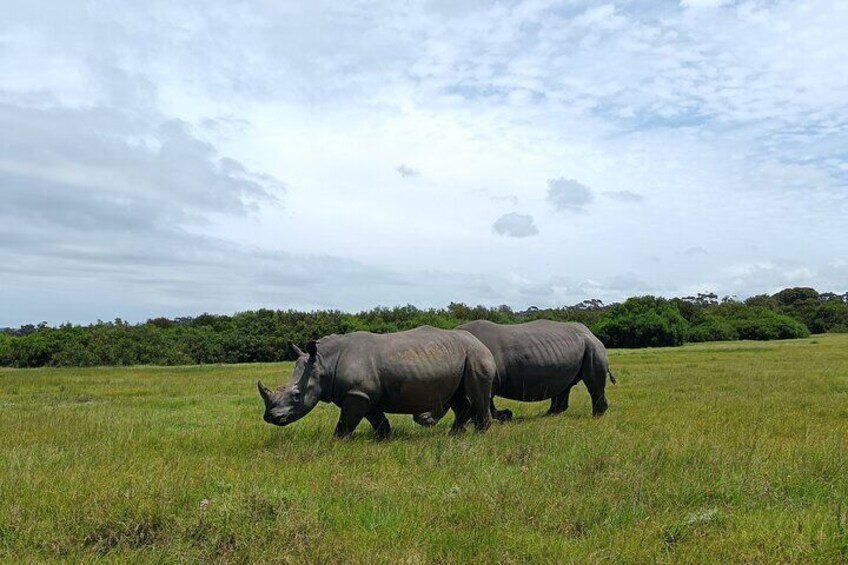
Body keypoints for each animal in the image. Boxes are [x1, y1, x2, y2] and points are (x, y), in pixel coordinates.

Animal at [258, 324, 496, 438]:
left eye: (297, 395)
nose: (270, 417)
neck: (324, 363)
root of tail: (480, 341)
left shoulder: (357, 393)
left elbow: (346, 423)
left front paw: (336, 442)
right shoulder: (365, 394)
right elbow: (378, 420)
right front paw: (385, 439)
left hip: (476, 354)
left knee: (478, 394)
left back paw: (479, 435)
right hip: (457, 356)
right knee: (457, 397)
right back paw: (454, 434)